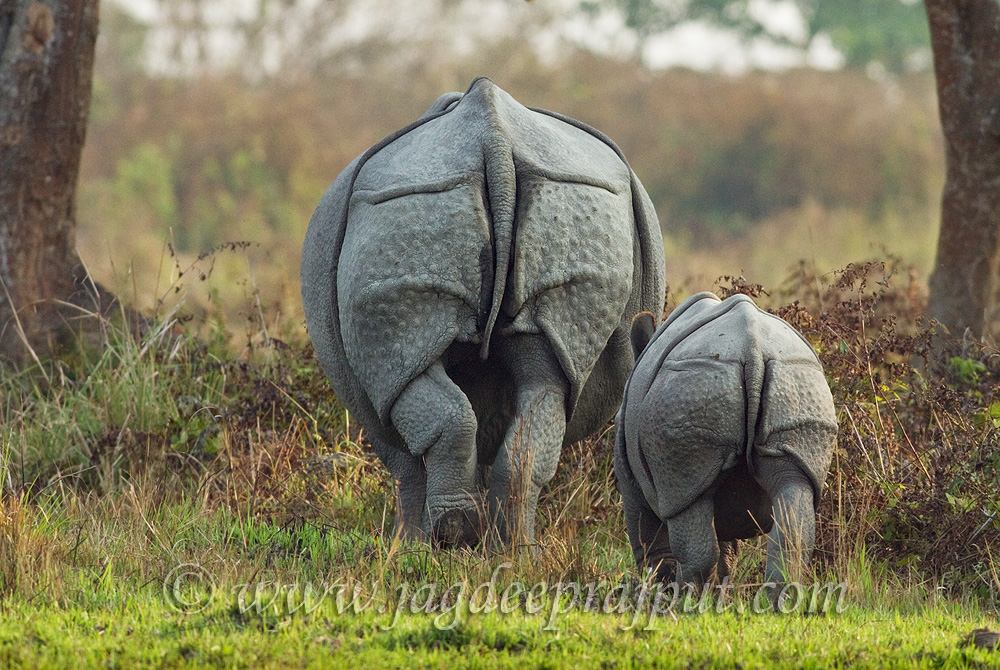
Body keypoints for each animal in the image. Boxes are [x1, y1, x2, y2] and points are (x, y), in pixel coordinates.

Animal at [301, 78, 666, 547]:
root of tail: (494, 139)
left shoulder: (368, 395)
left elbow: (402, 464)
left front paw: (404, 545)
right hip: (572, 198)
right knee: (544, 382)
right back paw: (514, 546)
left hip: (406, 204)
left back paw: (451, 537)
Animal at [615, 292, 837, 585]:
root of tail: (753, 351)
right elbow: (727, 551)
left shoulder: (629, 472)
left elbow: (650, 542)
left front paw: (658, 588)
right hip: (796, 381)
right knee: (793, 494)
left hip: (693, 384)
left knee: (688, 522)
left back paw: (684, 595)